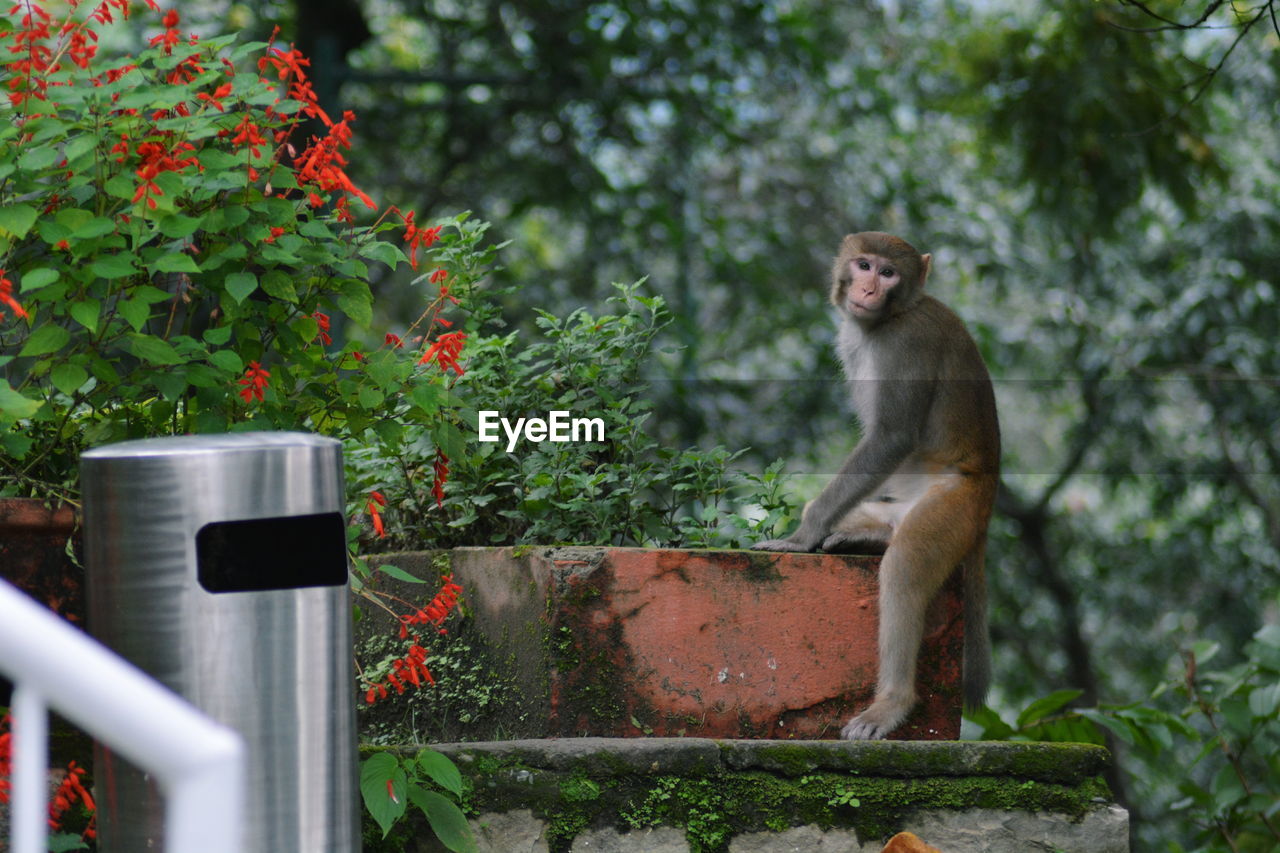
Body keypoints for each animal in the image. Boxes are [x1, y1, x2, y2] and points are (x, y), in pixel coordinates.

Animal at [747, 233, 998, 737]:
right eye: (863, 265)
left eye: (888, 273)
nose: (867, 289)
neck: (890, 318)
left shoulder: (908, 343)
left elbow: (891, 437)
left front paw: (803, 534)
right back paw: (869, 534)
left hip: (955, 506)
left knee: (904, 568)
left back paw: (892, 703)